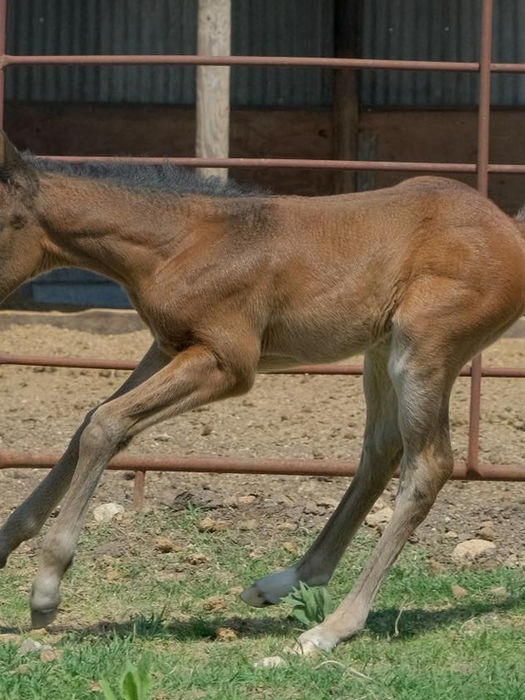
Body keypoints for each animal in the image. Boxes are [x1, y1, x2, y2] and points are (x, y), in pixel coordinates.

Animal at [0, 131, 523, 654]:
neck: (181, 244)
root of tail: (512, 233)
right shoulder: (168, 347)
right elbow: (89, 423)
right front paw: (6, 542)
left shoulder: (228, 363)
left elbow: (107, 425)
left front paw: (45, 590)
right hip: (381, 350)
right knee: (381, 450)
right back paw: (286, 581)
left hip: (423, 350)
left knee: (427, 466)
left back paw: (331, 629)